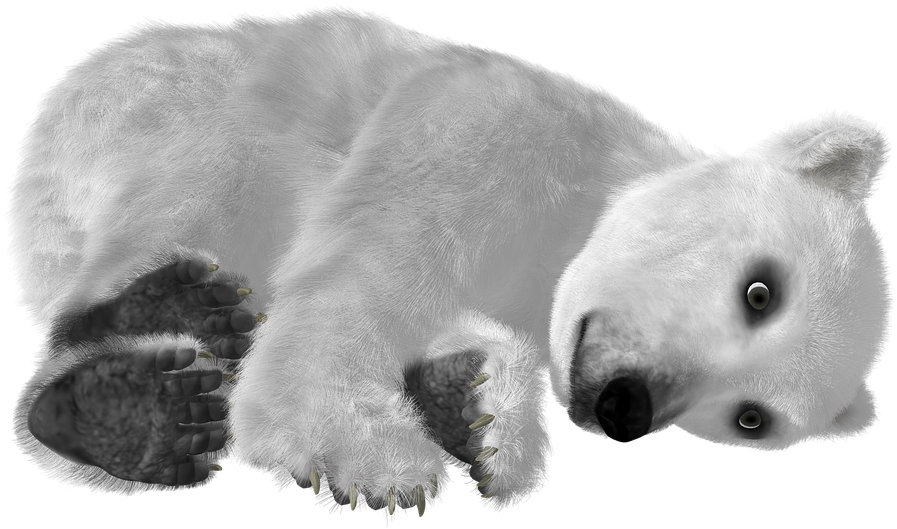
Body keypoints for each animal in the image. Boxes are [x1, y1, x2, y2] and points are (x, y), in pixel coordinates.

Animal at [7, 6, 891, 519]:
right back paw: (143, 380)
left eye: (752, 417)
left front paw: (471, 404)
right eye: (759, 290)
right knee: (206, 182)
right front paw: (379, 457)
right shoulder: (496, 119)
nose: (626, 405)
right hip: (148, 106)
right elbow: (369, 275)